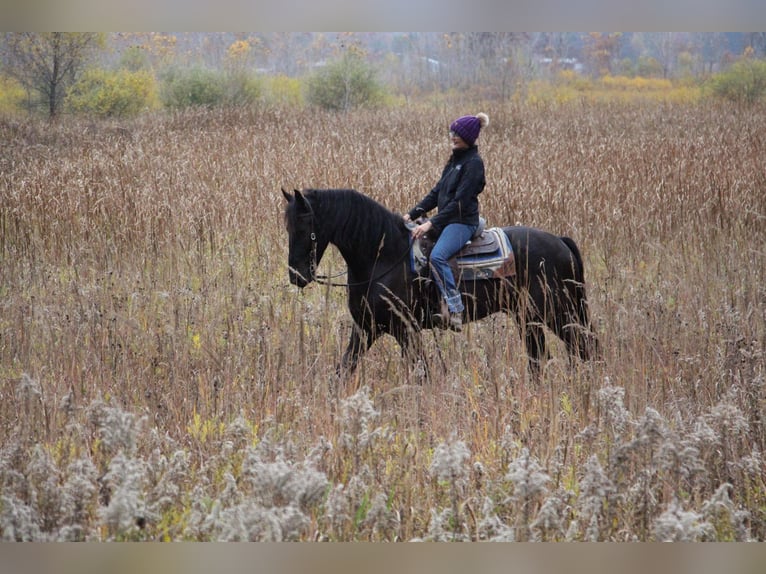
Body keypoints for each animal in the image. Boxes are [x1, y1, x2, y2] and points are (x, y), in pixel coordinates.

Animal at [282, 187, 600, 380]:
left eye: (305, 228)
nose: (296, 275)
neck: (383, 255)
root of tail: (561, 242)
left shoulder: (405, 328)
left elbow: (422, 373)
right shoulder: (366, 327)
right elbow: (343, 370)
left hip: (558, 312)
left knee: (585, 347)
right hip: (528, 317)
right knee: (541, 357)